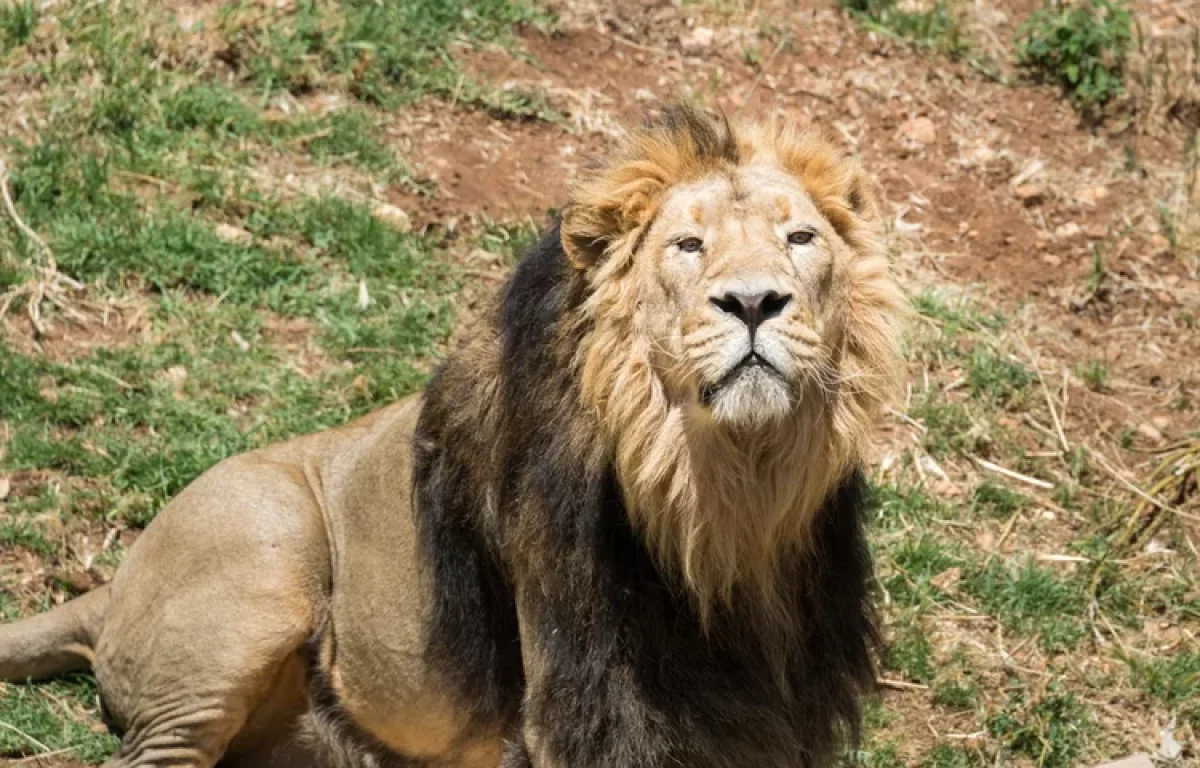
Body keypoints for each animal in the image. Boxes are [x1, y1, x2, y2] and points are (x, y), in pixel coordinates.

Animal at [0, 103, 902, 768]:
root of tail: (115, 586)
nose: (754, 301)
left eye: (800, 239)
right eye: (688, 245)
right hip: (265, 544)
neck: (725, 501)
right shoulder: (580, 693)